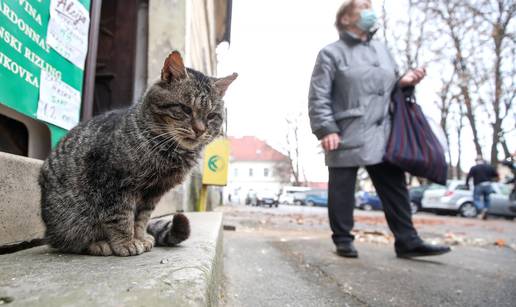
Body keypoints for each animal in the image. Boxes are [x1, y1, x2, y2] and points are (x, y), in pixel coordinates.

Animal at [38, 52, 238, 258]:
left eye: (211, 116)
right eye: (185, 109)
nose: (200, 130)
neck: (167, 152)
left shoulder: (153, 192)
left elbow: (141, 219)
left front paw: (140, 238)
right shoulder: (113, 184)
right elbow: (121, 218)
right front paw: (126, 242)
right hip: (70, 219)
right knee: (66, 242)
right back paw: (98, 244)